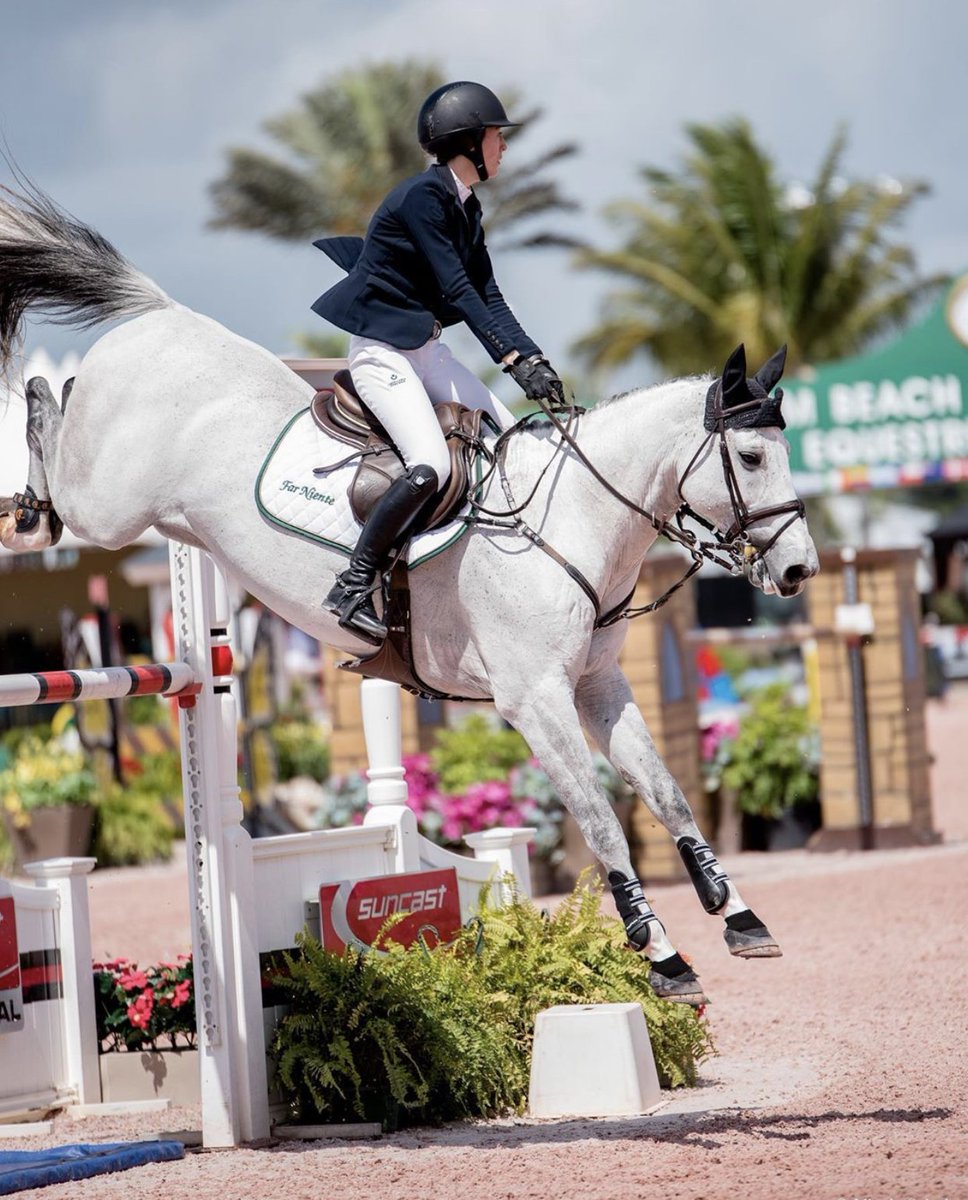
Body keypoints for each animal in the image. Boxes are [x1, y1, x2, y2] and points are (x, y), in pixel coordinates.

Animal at [0, 182, 818, 1004]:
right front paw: (664, 957)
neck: (574, 517)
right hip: (109, 509)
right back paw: (27, 498)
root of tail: (162, 318)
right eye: (752, 457)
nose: (798, 572)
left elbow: (666, 792)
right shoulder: (536, 699)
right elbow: (601, 821)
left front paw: (738, 916)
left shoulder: (597, 683)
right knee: (53, 434)